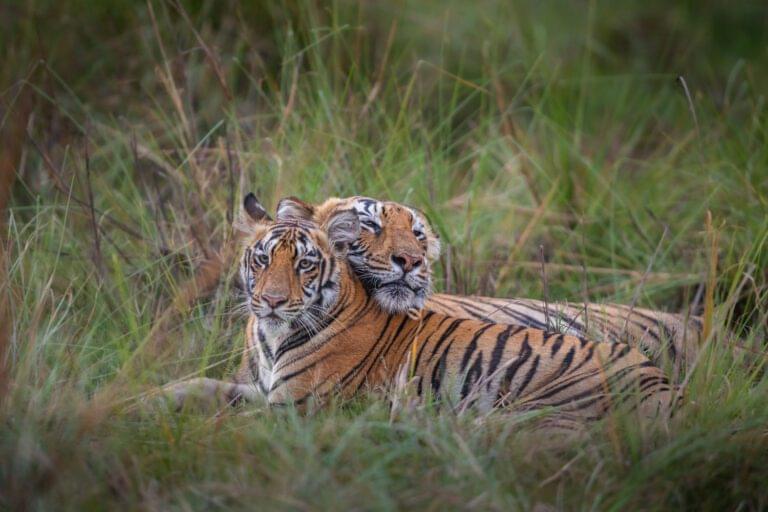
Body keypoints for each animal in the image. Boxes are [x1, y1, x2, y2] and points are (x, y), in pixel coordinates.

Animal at [164, 196, 677, 420]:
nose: (270, 301)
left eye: (305, 264)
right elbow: (198, 385)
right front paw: (150, 399)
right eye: (262, 259)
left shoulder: (294, 407)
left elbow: (230, 426)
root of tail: (663, 383)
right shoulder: (257, 387)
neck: (271, 337)